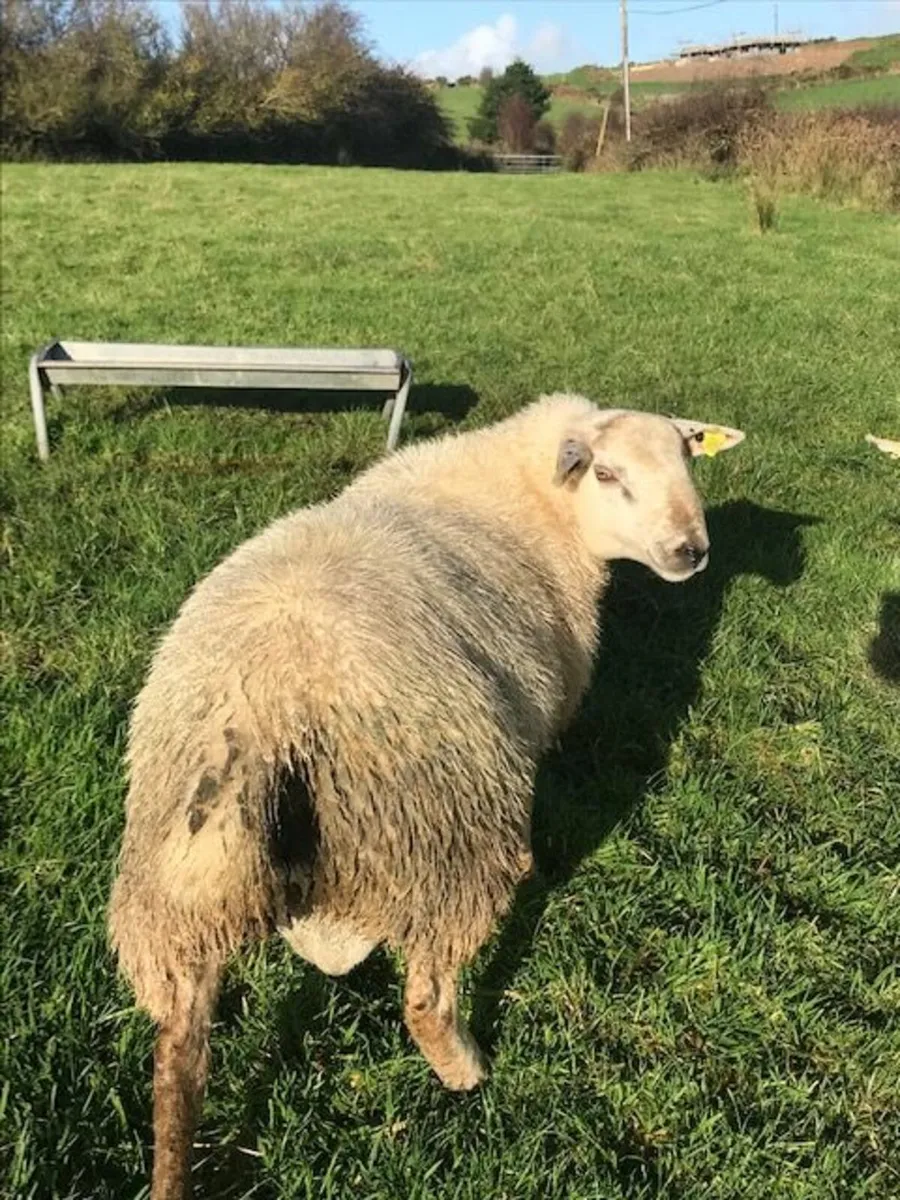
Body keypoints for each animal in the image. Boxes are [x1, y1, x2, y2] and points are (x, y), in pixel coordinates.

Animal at [107, 392, 744, 1199]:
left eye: (688, 459)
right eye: (606, 473)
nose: (691, 552)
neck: (533, 501)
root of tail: (265, 714)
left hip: (173, 886)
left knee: (177, 1051)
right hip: (446, 837)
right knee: (426, 996)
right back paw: (468, 1071)